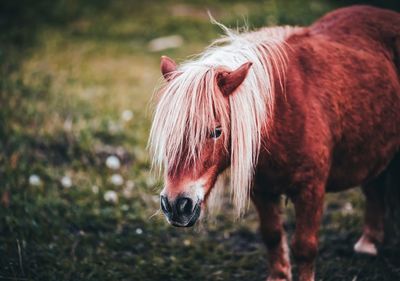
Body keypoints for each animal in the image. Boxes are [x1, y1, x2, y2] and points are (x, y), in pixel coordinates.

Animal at [149, 6, 400, 280]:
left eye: (216, 131)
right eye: (169, 130)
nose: (175, 205)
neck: (282, 111)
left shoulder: (311, 189)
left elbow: (304, 247)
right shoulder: (262, 190)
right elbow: (272, 236)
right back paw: (368, 243)